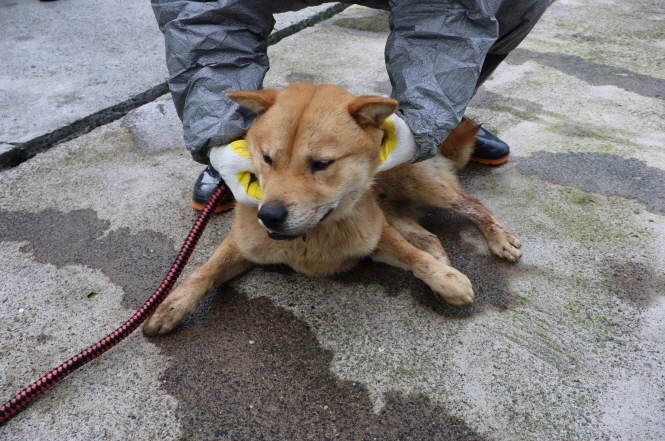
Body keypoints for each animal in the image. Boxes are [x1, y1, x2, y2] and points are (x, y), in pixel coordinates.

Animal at [143, 82, 520, 336]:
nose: (269, 216)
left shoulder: (375, 237)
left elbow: (411, 256)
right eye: (267, 158)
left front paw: (446, 280)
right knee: (429, 238)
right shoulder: (241, 243)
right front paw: (172, 304)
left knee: (473, 206)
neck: (310, 238)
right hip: (394, 212)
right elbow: (205, 269)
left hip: (418, 187)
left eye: (321, 164)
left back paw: (499, 239)